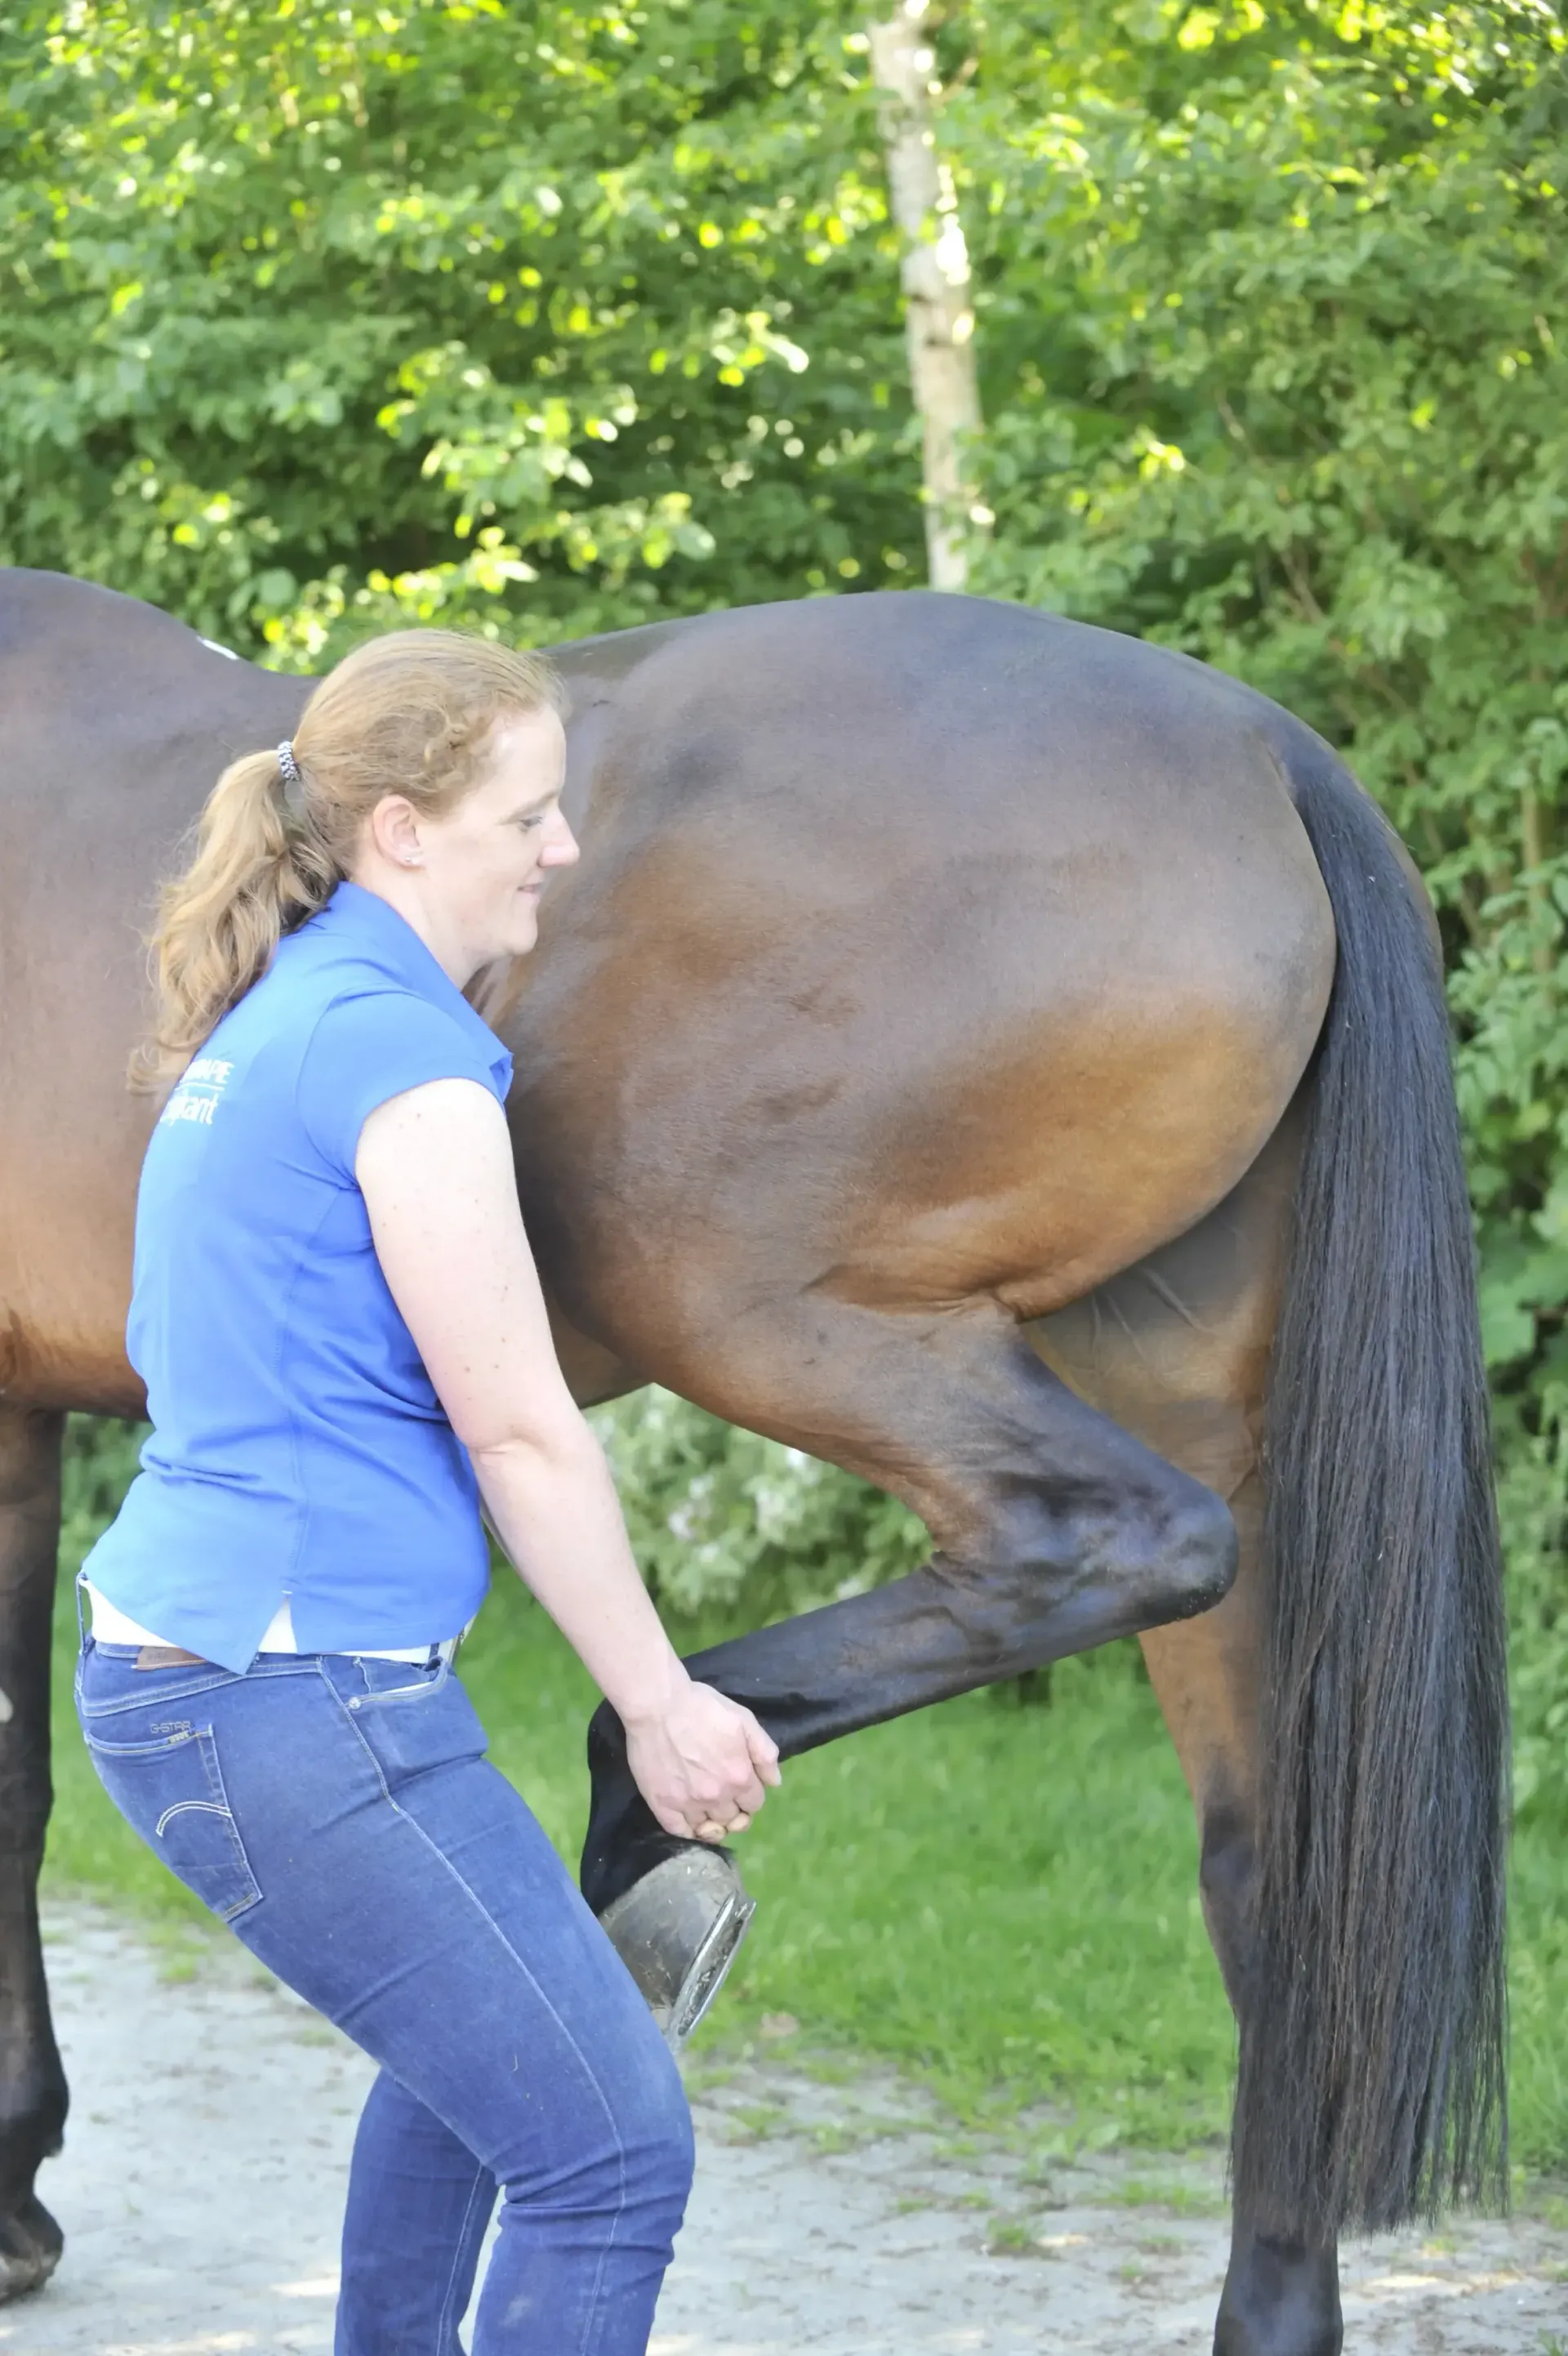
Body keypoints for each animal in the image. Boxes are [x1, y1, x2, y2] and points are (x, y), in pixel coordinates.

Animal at [0, 566, 1507, 2355]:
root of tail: (1268, 746)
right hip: (1189, 1390)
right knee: (1270, 1856)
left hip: (766, 1306)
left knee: (1102, 1541)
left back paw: (640, 1815)